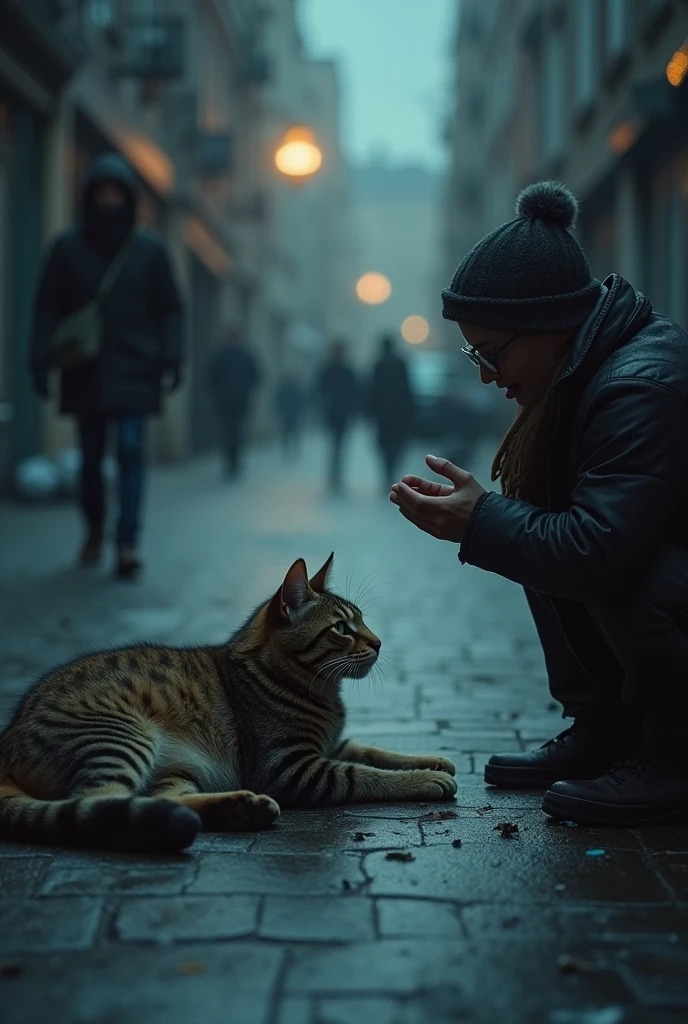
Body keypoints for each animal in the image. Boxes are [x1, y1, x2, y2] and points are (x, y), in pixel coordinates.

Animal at [0, 557, 456, 851]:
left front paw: (430, 759)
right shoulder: (291, 767)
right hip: (120, 738)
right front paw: (424, 778)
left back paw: (240, 808)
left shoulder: (332, 744)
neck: (324, 693)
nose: (379, 643)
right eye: (343, 628)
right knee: (96, 803)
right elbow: (364, 774)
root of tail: (7, 738)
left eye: (362, 621)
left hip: (173, 771)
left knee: (160, 799)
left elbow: (374, 750)